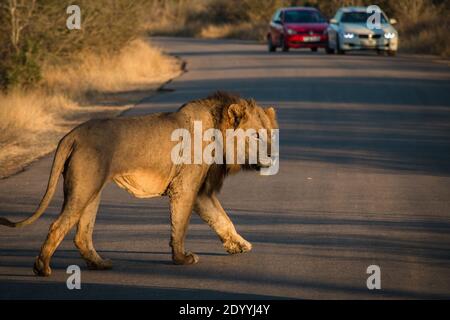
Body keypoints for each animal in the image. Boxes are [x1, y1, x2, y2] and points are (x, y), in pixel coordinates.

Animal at [0, 91, 278, 276]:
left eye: (270, 134)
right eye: (256, 135)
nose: (271, 155)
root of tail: (72, 134)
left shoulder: (200, 191)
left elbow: (222, 218)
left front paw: (239, 245)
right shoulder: (185, 188)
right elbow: (181, 225)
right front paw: (181, 258)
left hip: (92, 190)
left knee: (81, 234)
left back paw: (99, 264)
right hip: (84, 188)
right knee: (58, 225)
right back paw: (42, 267)